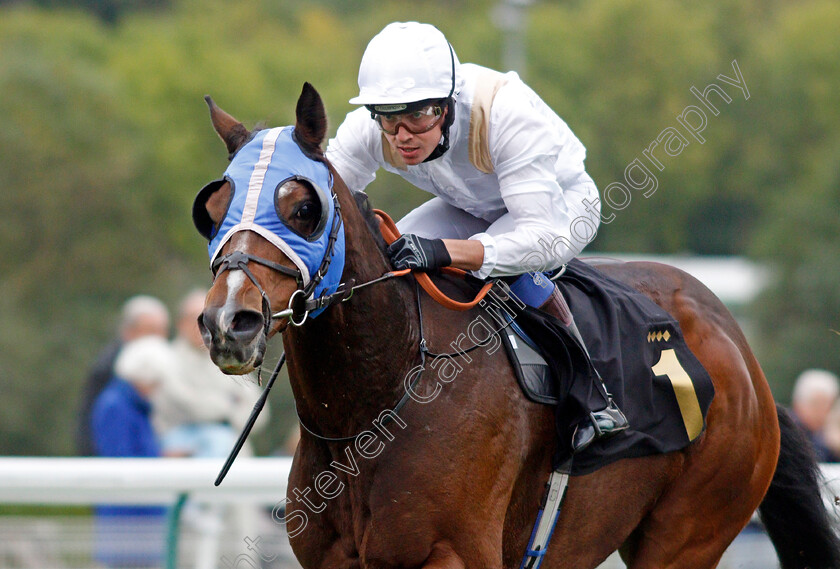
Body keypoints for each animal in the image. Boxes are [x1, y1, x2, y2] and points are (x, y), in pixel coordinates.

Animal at [192, 84, 840, 568]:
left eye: (304, 208)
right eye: (213, 211)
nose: (229, 321)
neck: (372, 406)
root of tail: (745, 360)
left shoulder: (453, 553)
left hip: (689, 531)